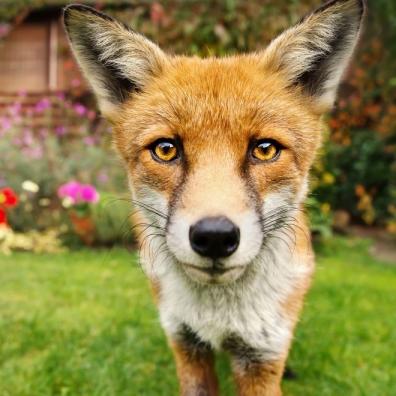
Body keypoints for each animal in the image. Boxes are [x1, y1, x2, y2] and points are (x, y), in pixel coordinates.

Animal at [62, 1, 366, 394]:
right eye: (165, 149)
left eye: (265, 149)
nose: (215, 236)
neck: (219, 315)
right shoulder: (186, 344)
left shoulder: (261, 357)